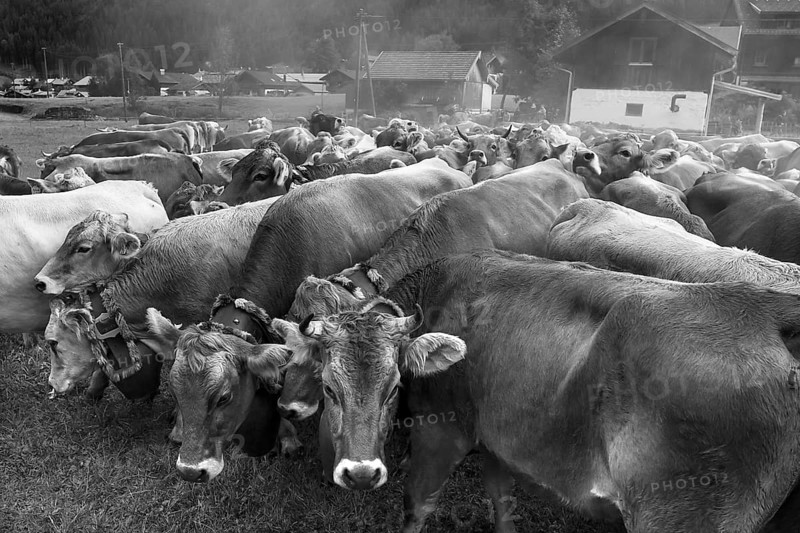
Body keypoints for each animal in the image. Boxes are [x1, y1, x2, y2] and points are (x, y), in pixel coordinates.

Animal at [270, 250, 800, 532]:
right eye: (331, 386)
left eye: (395, 386)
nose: (360, 473)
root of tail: (761, 308)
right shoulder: (499, 444)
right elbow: (502, 505)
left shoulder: (443, 432)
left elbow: (416, 506)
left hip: (681, 512)